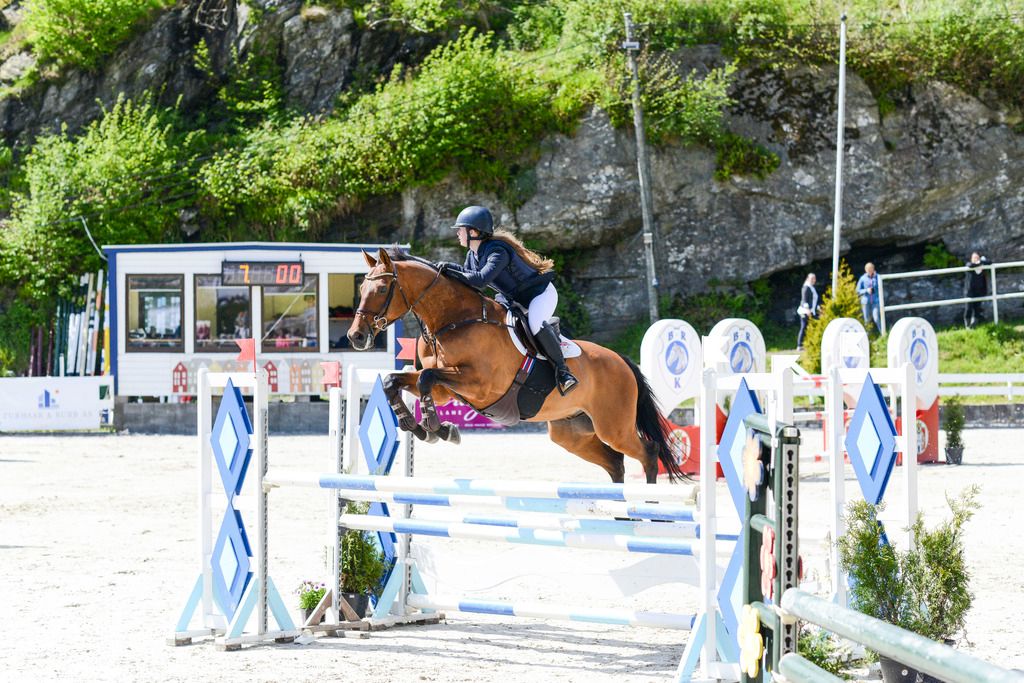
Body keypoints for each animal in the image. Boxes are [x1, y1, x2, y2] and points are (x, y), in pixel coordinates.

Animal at [347, 247, 685, 484]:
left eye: (380, 290)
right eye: (361, 289)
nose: (356, 336)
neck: (451, 320)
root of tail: (622, 362)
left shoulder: (481, 385)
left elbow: (426, 378)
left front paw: (435, 428)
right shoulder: (447, 389)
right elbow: (396, 381)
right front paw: (420, 427)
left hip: (613, 426)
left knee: (648, 452)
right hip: (571, 433)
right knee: (615, 463)